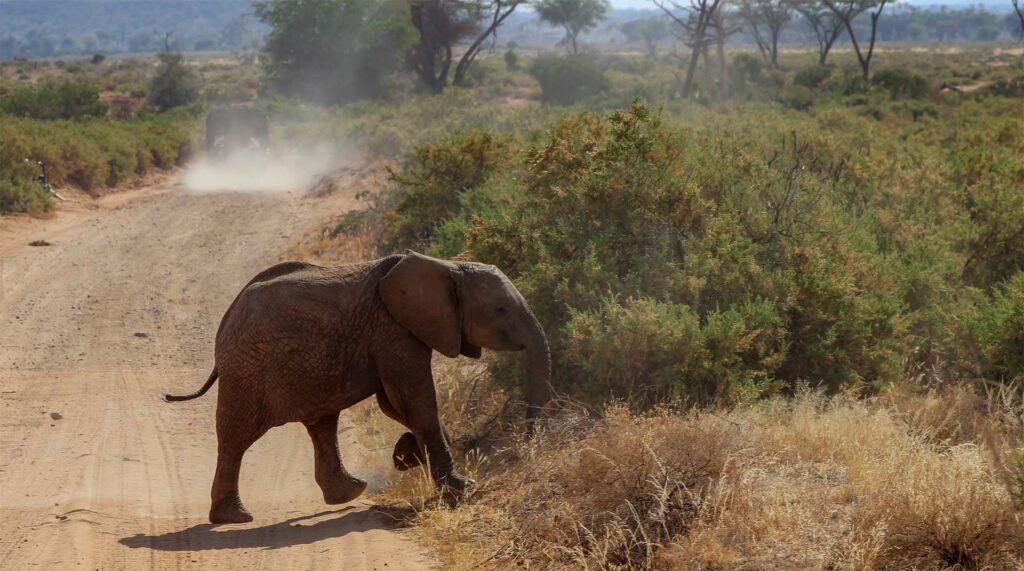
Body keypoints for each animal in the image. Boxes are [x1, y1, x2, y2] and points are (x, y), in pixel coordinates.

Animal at [165, 251, 551, 524]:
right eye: (500, 310)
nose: (526, 448)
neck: (448, 265)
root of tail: (226, 318)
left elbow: (395, 404)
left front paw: (406, 455)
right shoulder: (393, 329)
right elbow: (414, 400)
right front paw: (459, 486)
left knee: (322, 423)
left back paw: (349, 493)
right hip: (246, 369)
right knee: (237, 437)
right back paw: (234, 517)